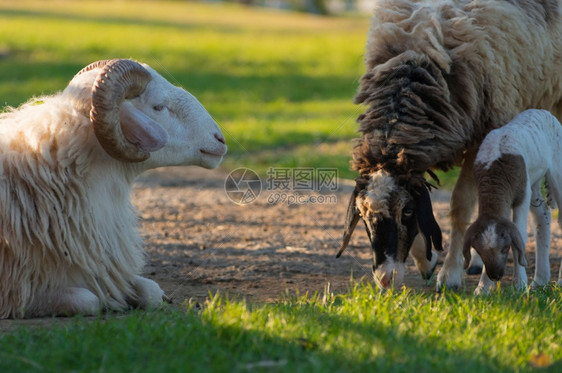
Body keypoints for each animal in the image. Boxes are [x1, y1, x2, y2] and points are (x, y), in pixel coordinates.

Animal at [462, 108, 560, 294]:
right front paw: (483, 288)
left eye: (505, 248)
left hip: (555, 171)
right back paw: (540, 280)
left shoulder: (522, 195)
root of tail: (544, 111)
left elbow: (520, 235)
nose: (496, 276)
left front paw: (519, 284)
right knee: (543, 215)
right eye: (479, 251)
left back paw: (558, 281)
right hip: (533, 180)